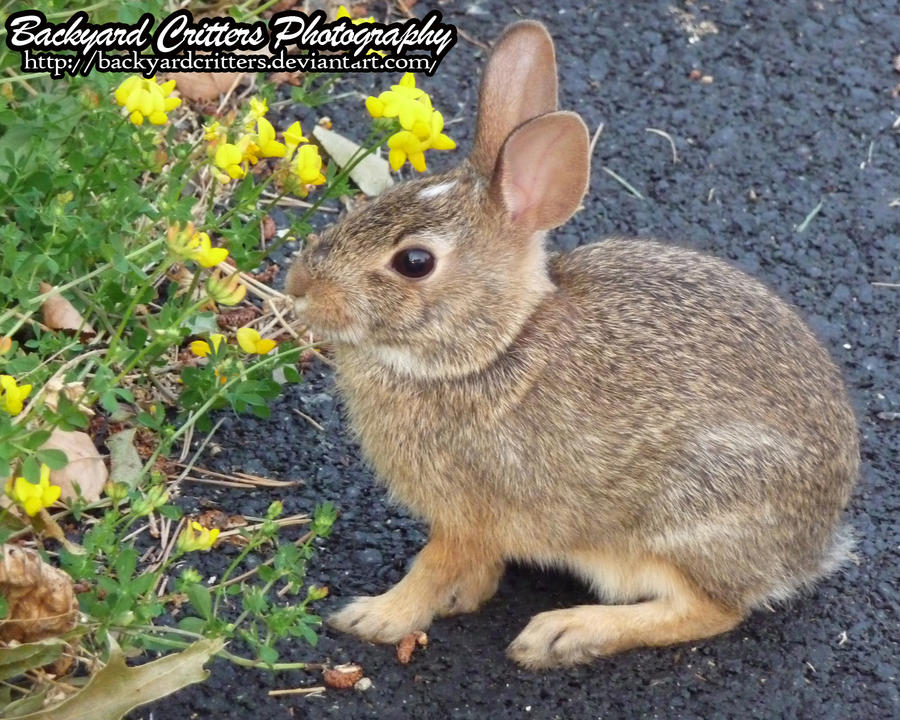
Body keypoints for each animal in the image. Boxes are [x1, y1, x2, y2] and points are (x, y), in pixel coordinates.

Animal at [286, 18, 856, 668]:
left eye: (414, 262)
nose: (298, 287)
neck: (493, 348)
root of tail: (813, 547)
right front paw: (460, 599)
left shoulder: (467, 514)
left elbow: (432, 568)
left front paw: (375, 618)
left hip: (685, 518)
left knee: (710, 610)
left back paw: (563, 633)